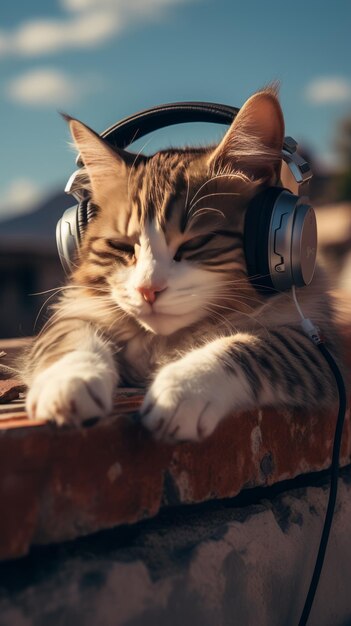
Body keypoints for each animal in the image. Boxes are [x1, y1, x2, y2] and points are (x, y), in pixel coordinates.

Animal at [22, 88, 340, 442]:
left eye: (193, 244)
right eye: (122, 246)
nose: (148, 290)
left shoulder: (320, 347)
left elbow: (249, 346)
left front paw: (184, 388)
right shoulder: (74, 314)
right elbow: (71, 341)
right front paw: (69, 383)